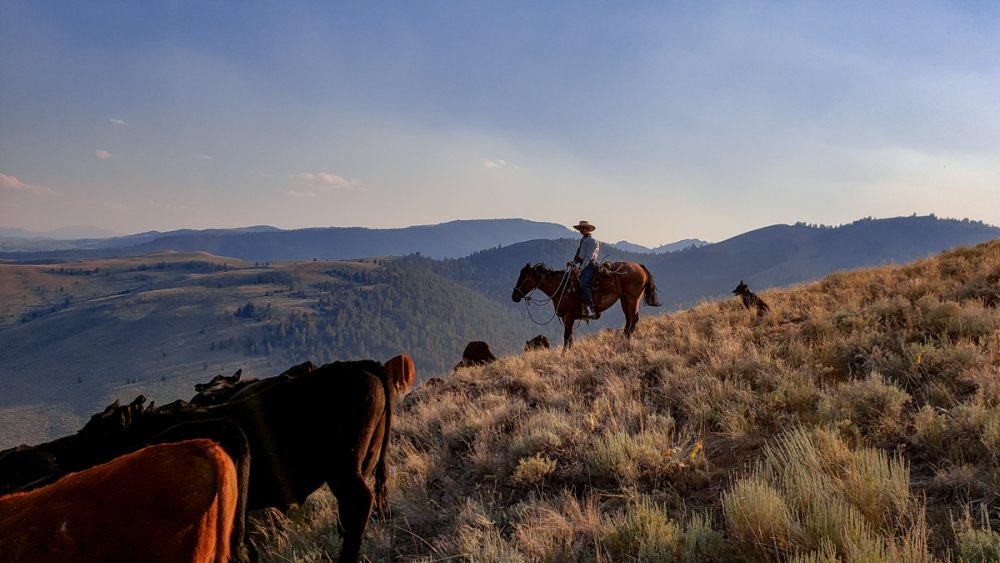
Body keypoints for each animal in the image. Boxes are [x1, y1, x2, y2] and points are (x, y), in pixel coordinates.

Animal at [512, 264, 660, 348]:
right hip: (624, 299)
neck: (563, 288)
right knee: (628, 320)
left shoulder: (569, 316)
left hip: (632, 299)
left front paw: (564, 355)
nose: (514, 296)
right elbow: (570, 338)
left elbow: (567, 338)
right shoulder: (568, 318)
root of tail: (639, 266)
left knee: (634, 320)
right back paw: (623, 339)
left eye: (525, 277)